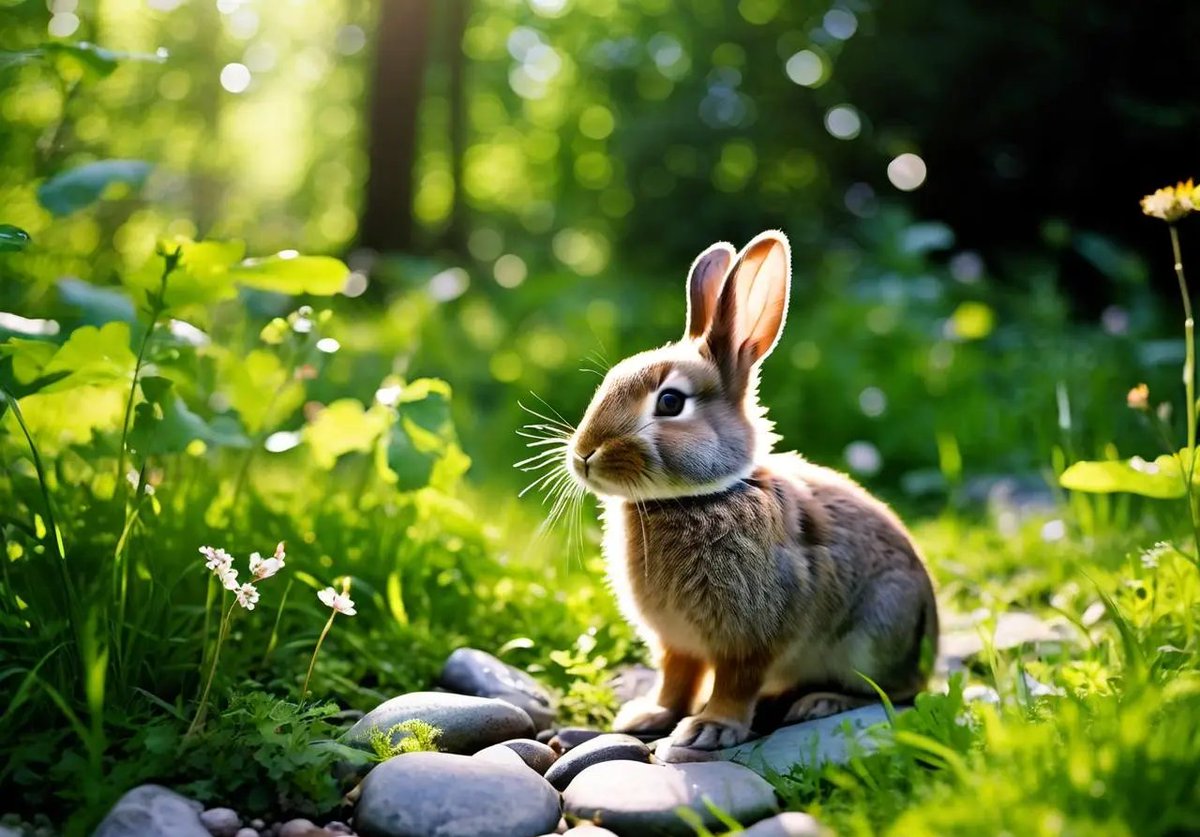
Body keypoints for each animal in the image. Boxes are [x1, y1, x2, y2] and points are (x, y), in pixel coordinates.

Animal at [564, 230, 939, 755]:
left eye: (670, 402)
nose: (584, 454)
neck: (699, 497)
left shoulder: (752, 638)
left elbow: (735, 682)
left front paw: (709, 728)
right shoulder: (677, 643)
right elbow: (677, 678)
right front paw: (649, 715)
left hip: (877, 631)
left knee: (890, 692)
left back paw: (819, 702)